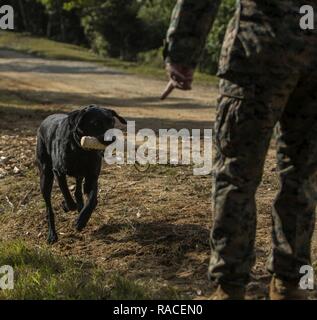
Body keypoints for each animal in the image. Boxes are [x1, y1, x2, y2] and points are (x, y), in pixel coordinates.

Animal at [36, 104, 126, 242]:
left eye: (111, 122)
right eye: (95, 123)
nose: (113, 139)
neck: (81, 150)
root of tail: (45, 120)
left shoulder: (92, 177)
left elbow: (92, 200)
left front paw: (82, 220)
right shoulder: (58, 172)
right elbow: (66, 194)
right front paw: (67, 206)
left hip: (78, 175)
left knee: (78, 190)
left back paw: (79, 205)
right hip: (45, 176)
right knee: (49, 207)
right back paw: (52, 234)